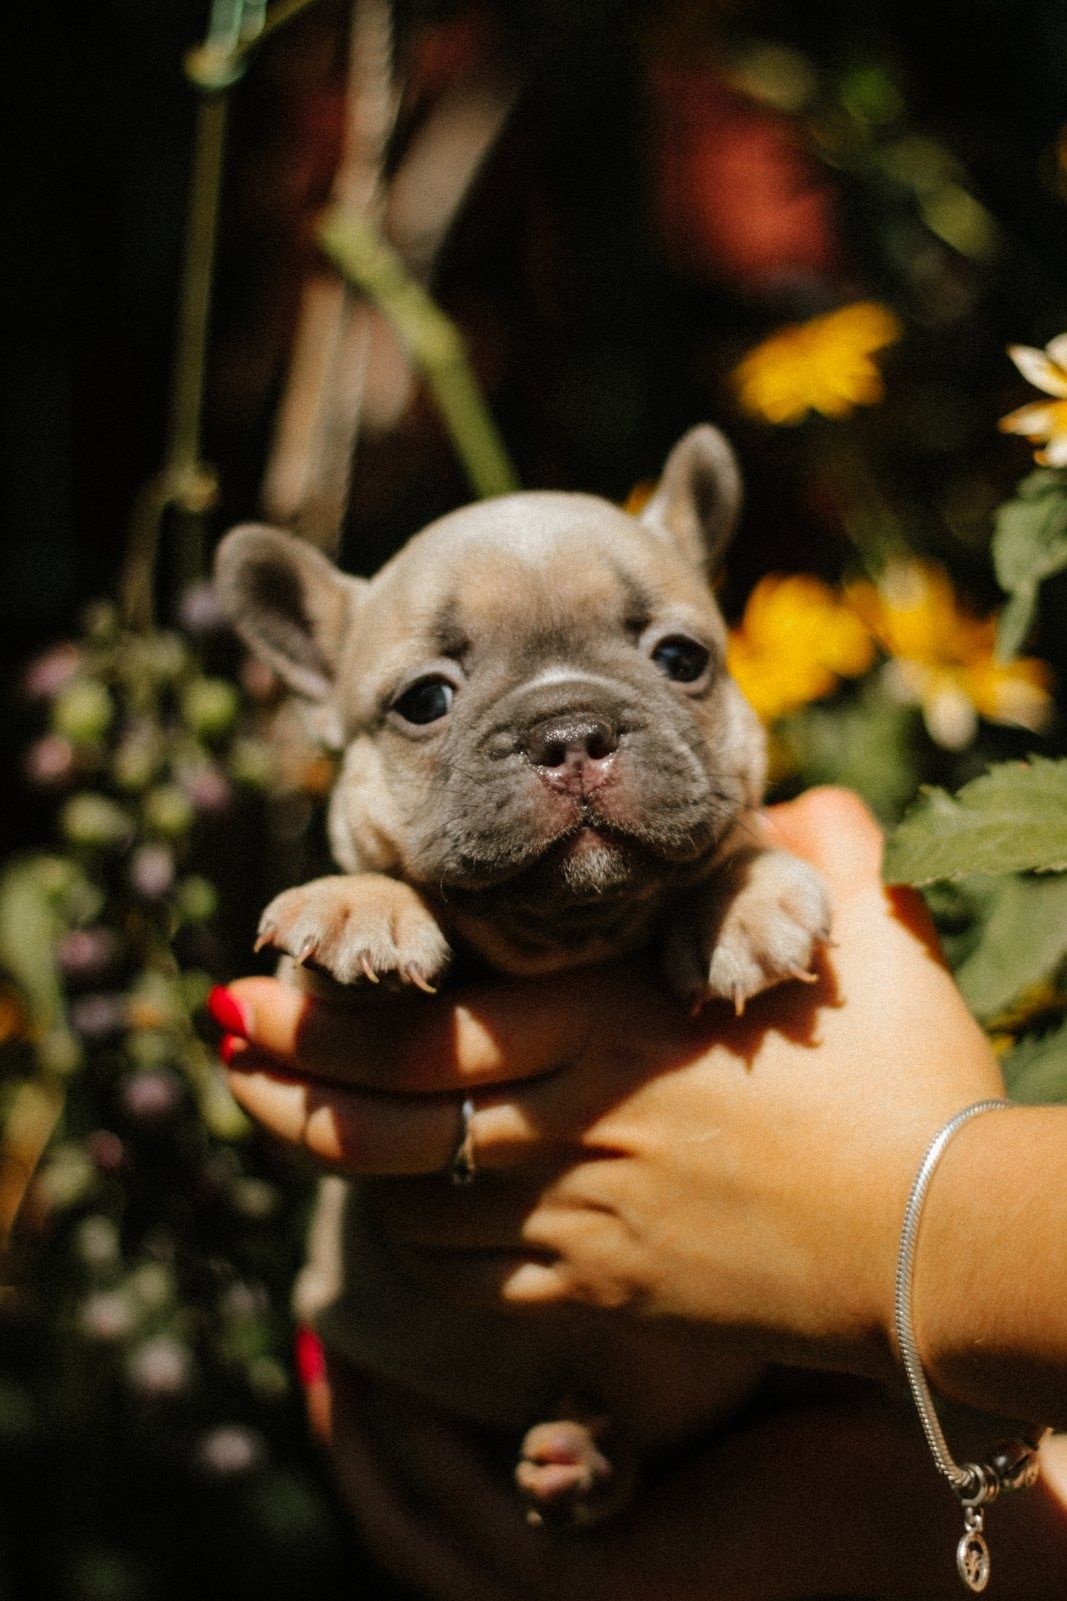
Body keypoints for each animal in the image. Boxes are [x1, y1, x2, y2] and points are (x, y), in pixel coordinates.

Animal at [214, 425, 833, 1524]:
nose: (570, 729)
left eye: (679, 659)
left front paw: (746, 899)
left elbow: (732, 841)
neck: (570, 933)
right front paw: (363, 903)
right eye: (425, 701)